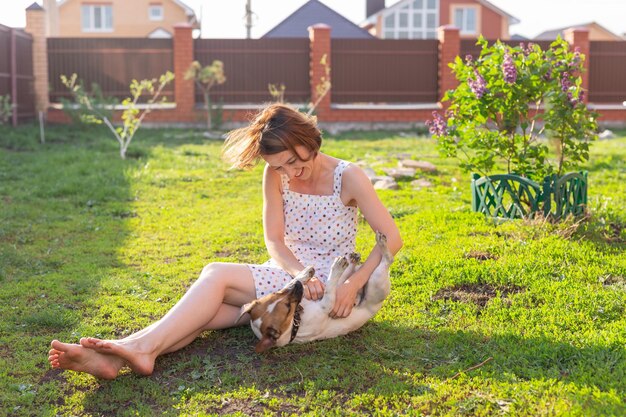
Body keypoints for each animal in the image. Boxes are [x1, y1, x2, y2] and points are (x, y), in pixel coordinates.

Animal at [238, 231, 390, 352]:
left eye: (276, 294)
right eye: (287, 308)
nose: (299, 286)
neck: (296, 320)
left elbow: (293, 281)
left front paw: (305, 274)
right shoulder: (326, 304)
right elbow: (329, 288)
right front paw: (334, 269)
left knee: (347, 276)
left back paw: (352, 261)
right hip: (377, 282)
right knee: (387, 261)